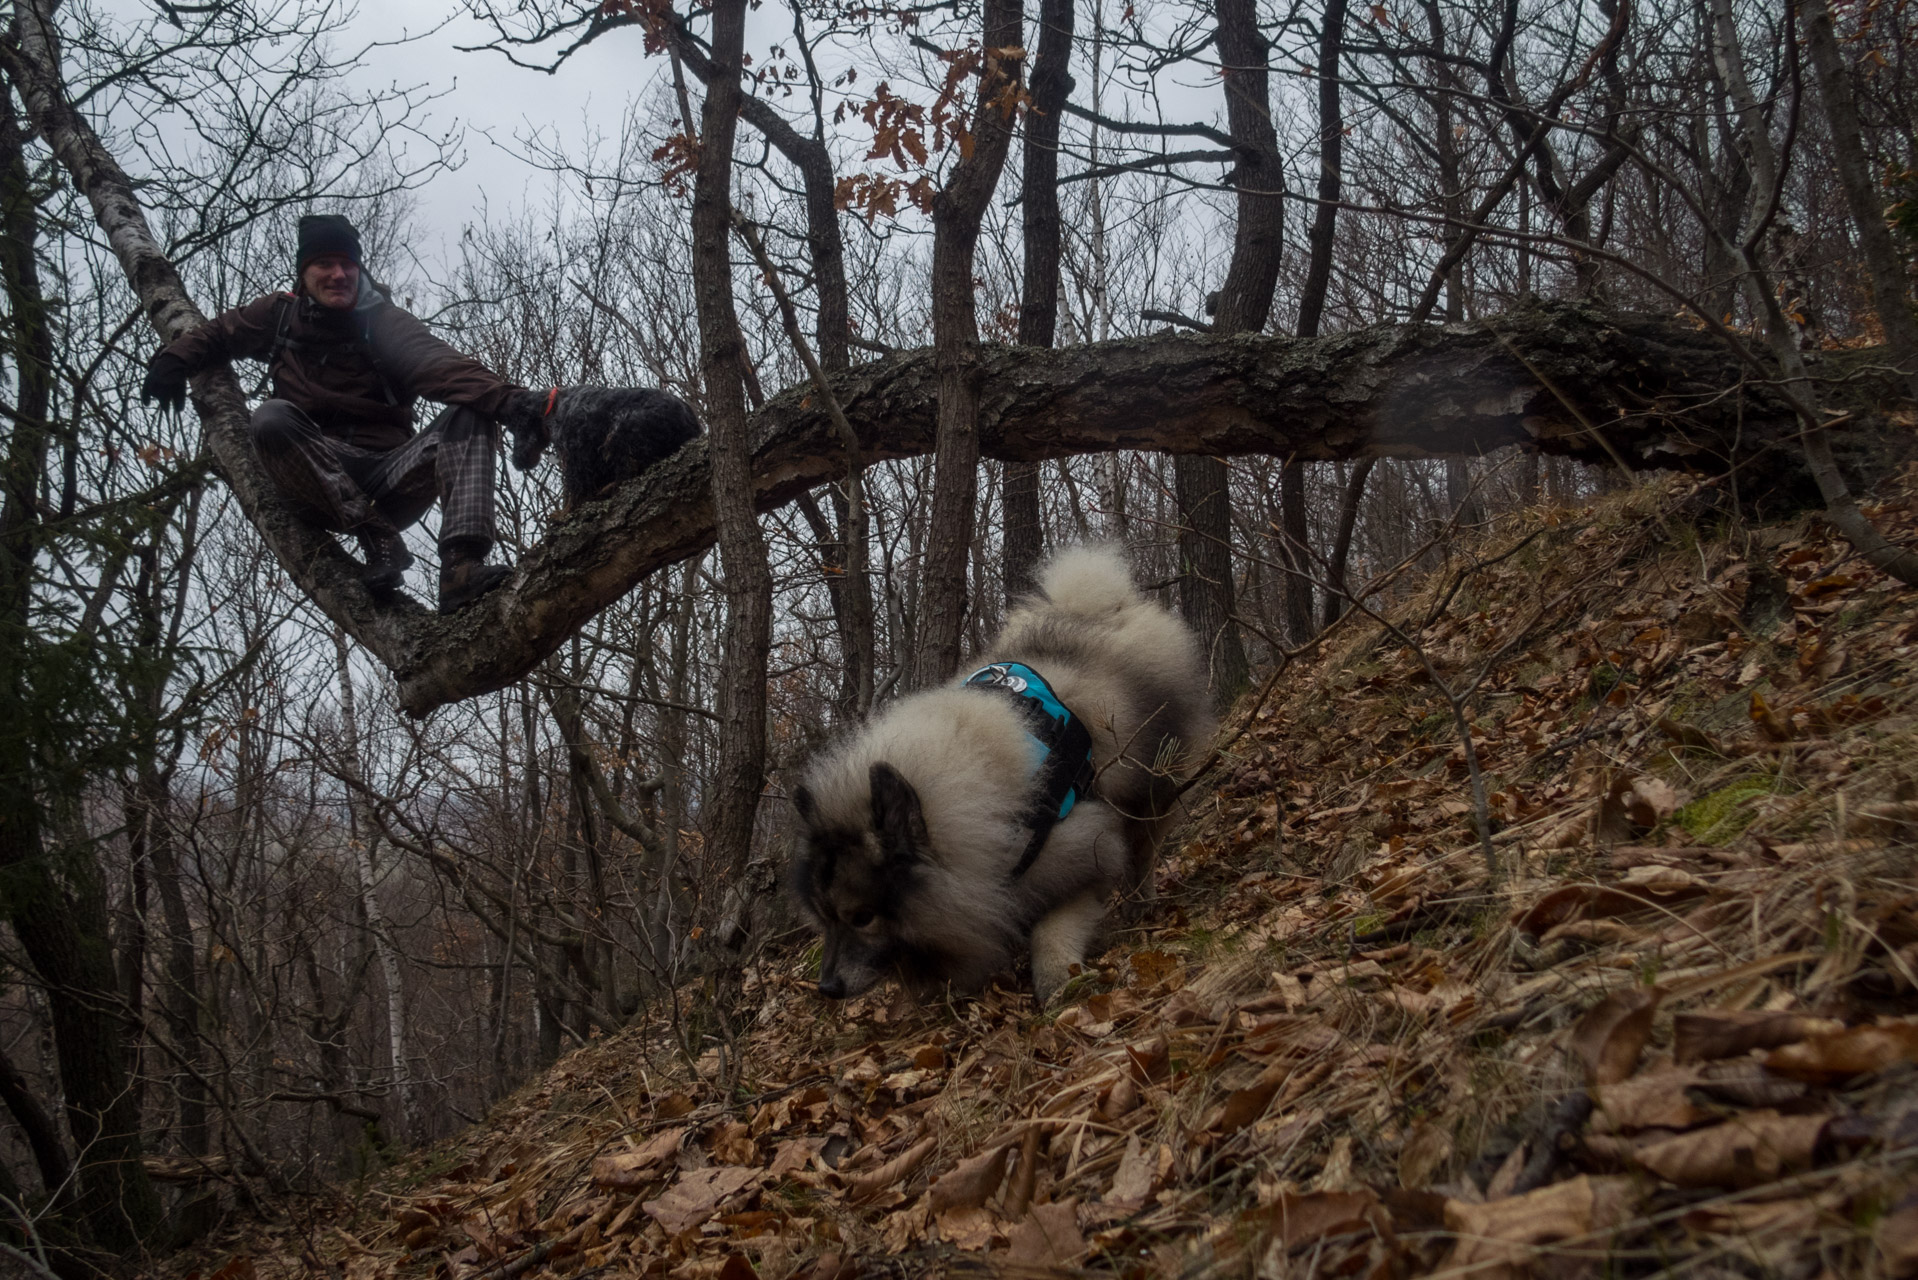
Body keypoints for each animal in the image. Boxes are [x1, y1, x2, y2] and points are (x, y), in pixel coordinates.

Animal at [498, 385, 701, 506]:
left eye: (513, 429)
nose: (517, 462)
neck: (553, 409)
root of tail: (691, 425)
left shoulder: (577, 455)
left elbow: (576, 490)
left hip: (620, 429)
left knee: (629, 470)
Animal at [790, 545, 1212, 1005]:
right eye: (827, 920)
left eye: (863, 917)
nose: (827, 988)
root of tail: (1096, 609)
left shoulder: (1084, 854)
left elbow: (1052, 929)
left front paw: (1057, 980)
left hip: (1149, 783)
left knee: (1143, 847)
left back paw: (1140, 902)